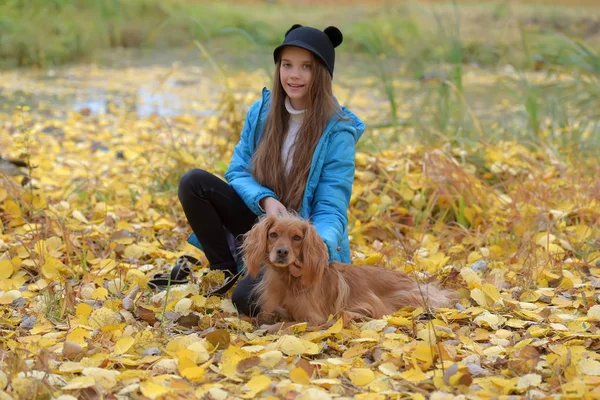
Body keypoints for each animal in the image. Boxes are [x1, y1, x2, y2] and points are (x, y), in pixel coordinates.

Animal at [243, 212, 454, 324]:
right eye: (273, 234)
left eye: (297, 238)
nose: (281, 252)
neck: (288, 280)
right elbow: (266, 313)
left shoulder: (313, 318)